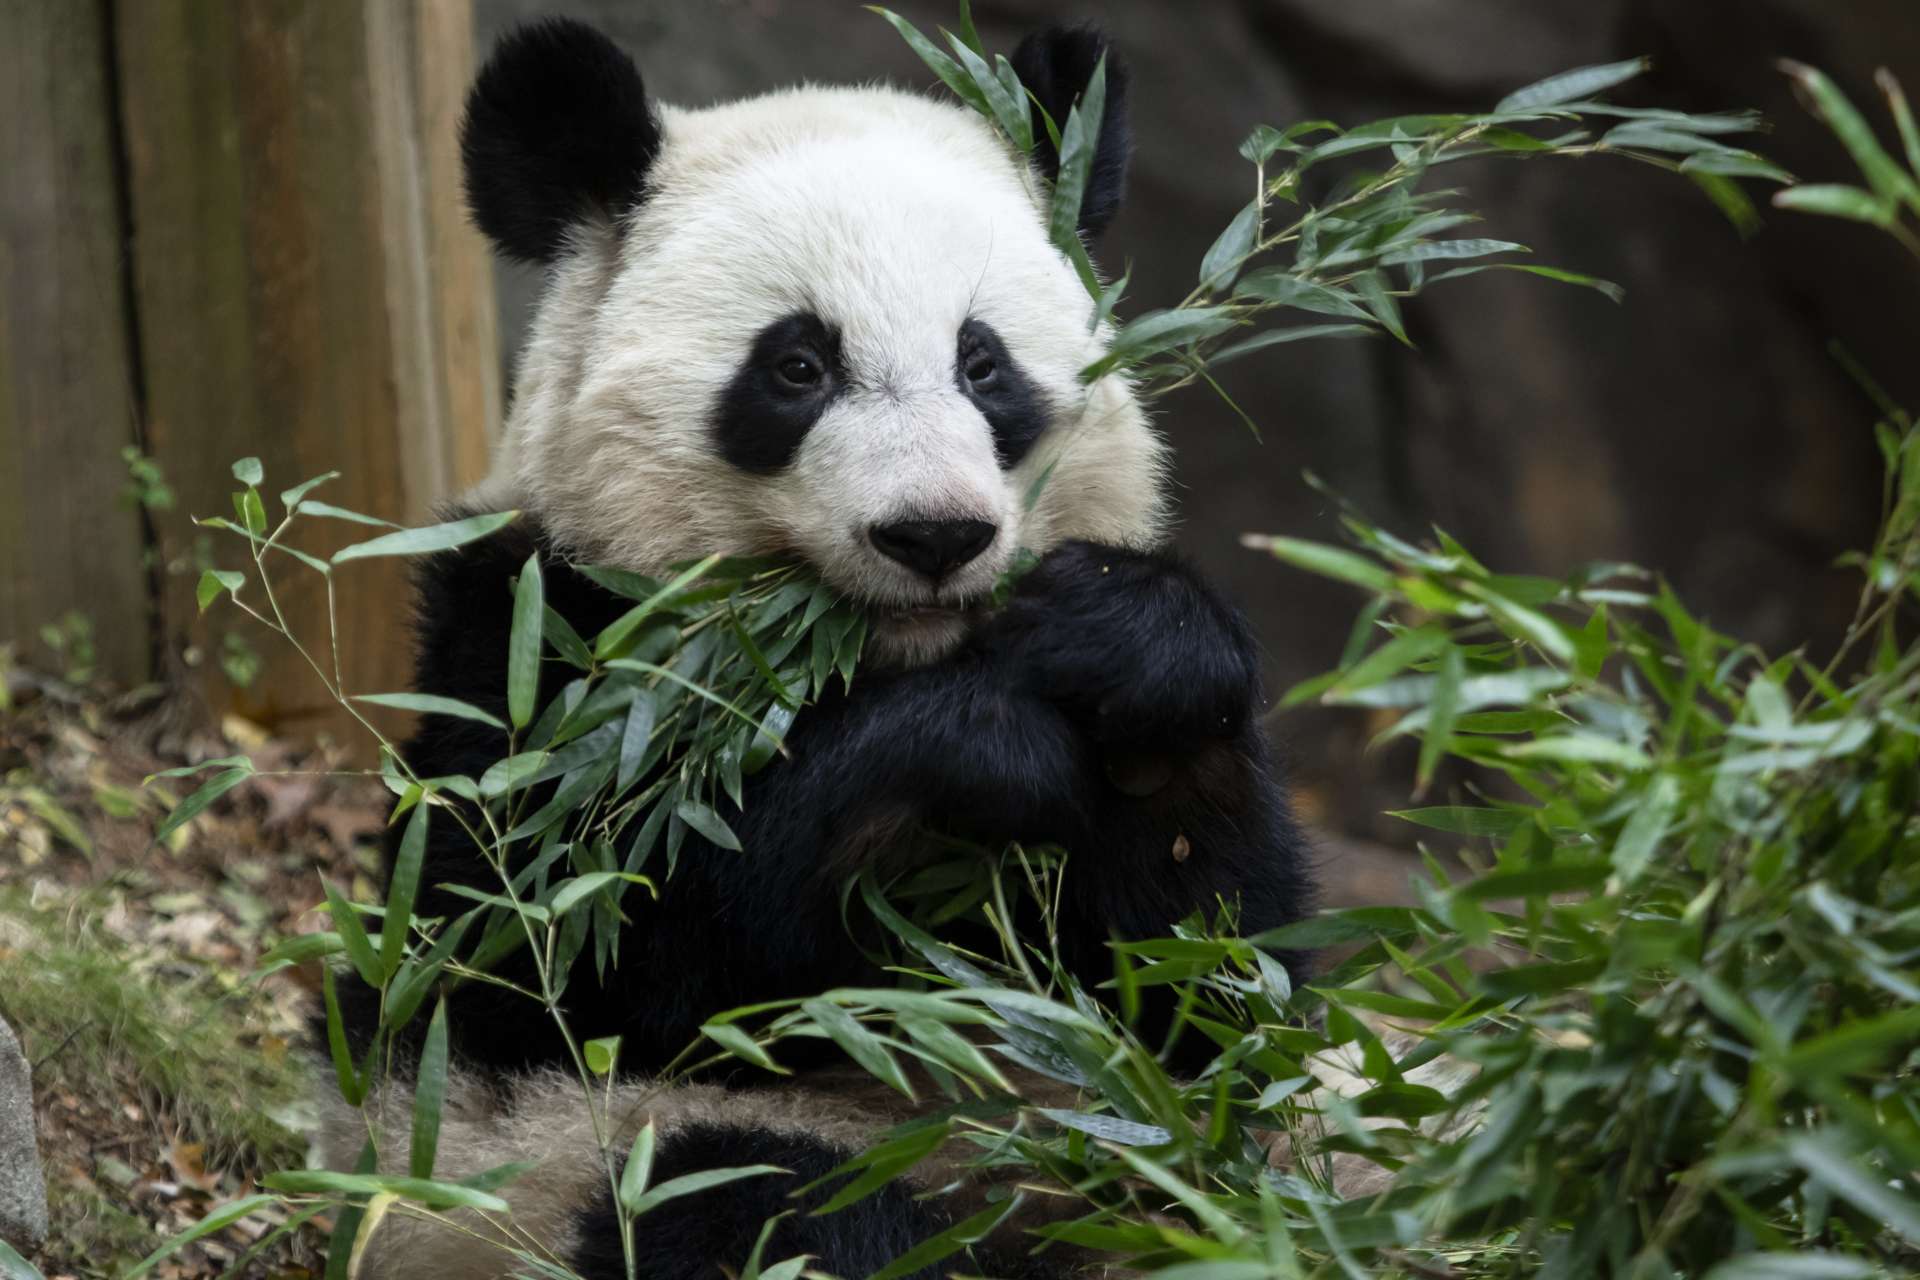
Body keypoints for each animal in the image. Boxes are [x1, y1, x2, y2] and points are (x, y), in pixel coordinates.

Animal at [318, 17, 1320, 1280]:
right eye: (798, 364)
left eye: (982, 362)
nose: (935, 533)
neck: (876, 657)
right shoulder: (532, 648)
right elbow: (565, 937)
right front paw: (977, 749)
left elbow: (1218, 979)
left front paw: (1138, 655)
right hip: (563, 1167)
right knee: (754, 1208)